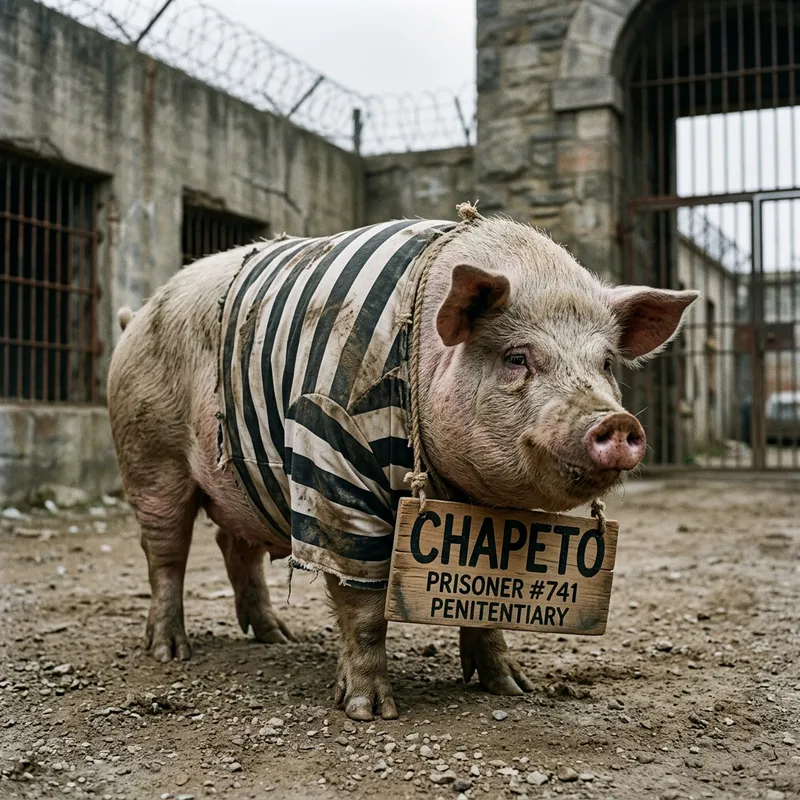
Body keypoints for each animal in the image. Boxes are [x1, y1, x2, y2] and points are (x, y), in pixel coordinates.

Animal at [108, 213, 697, 721]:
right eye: (517, 357)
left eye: (606, 363)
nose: (615, 422)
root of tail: (135, 317)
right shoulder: (333, 466)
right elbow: (364, 605)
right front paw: (370, 712)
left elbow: (488, 597)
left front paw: (514, 688)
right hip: (148, 454)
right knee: (165, 553)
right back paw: (170, 652)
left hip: (241, 477)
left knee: (237, 547)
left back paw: (279, 636)